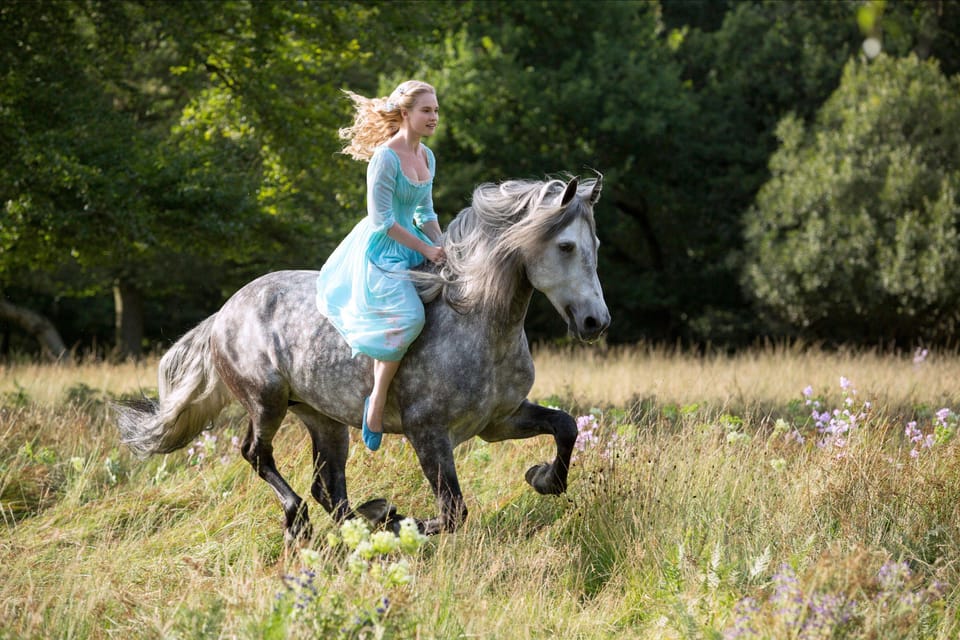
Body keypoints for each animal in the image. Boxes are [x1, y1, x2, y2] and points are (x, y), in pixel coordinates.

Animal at [114, 174, 609, 542]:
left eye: (596, 247)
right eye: (566, 246)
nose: (595, 322)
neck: (477, 323)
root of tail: (223, 313)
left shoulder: (499, 421)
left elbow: (565, 425)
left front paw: (542, 478)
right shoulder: (428, 433)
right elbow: (452, 511)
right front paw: (406, 522)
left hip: (323, 419)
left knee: (328, 489)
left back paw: (368, 517)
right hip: (266, 401)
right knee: (259, 456)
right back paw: (312, 520)